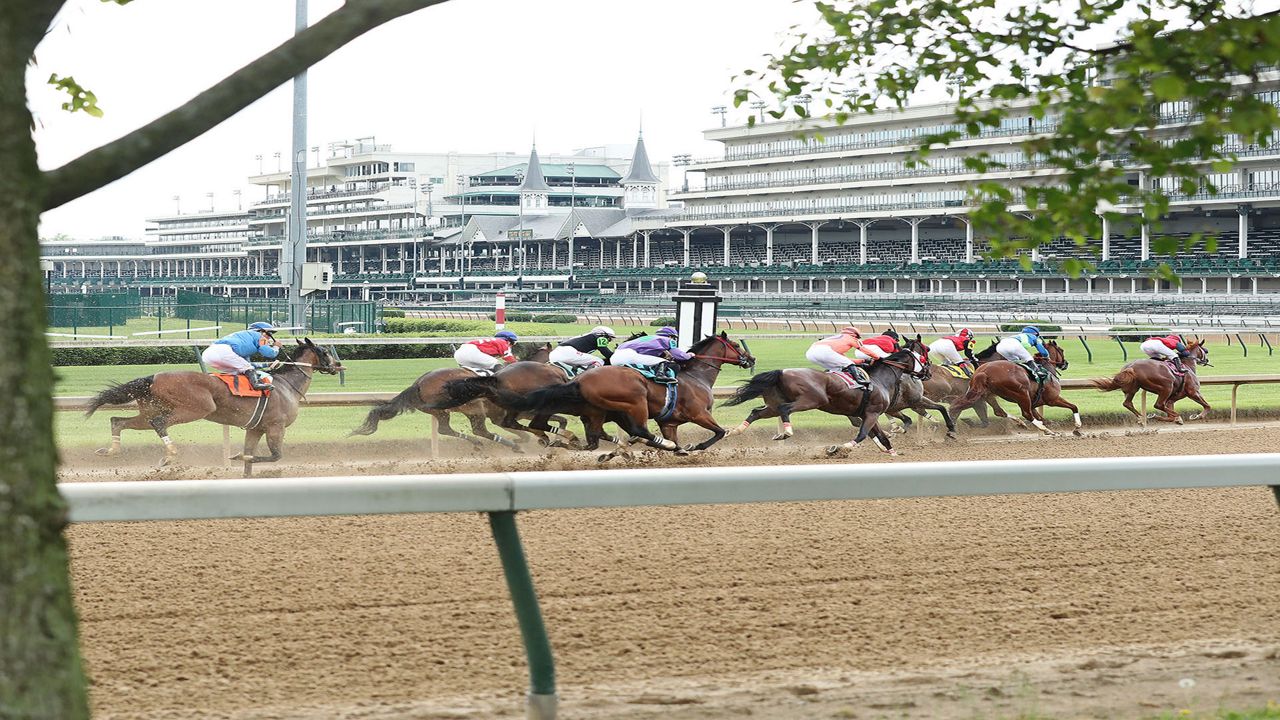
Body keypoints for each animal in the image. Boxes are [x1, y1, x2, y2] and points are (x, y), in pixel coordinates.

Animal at [84, 338, 345, 474]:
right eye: (324, 351)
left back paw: (111, 450)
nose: (338, 364)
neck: (286, 386)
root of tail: (154, 377)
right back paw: (169, 455)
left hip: (149, 409)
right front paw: (238, 455)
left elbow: (251, 458)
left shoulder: (255, 428)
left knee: (118, 421)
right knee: (159, 423)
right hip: (195, 408)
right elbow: (274, 456)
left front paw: (243, 461)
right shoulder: (275, 426)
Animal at [350, 340, 555, 448]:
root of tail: (417, 384)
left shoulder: (501, 415)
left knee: (445, 429)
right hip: (471, 407)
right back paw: (508, 445)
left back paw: (479, 443)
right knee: (478, 429)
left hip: (439, 411)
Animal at [483, 330, 752, 456]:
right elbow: (719, 432)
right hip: (634, 403)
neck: (696, 376)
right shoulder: (699, 414)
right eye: (735, 345)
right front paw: (695, 446)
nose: (751, 359)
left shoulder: (669, 422)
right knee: (637, 429)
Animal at [952, 338, 1080, 435]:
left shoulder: (1034, 403)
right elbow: (1074, 407)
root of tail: (984, 372)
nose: (1065, 363)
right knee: (1026, 414)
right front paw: (1077, 428)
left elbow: (1041, 418)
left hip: (984, 393)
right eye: (1061, 350)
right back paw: (1045, 430)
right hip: (1021, 393)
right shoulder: (1052, 399)